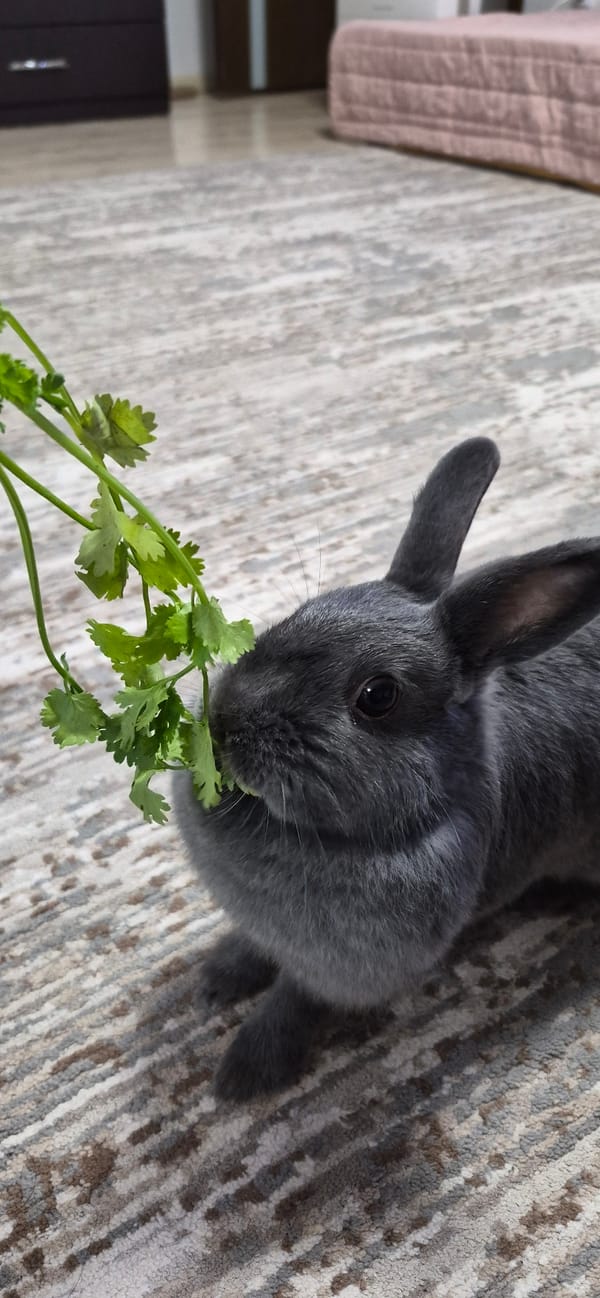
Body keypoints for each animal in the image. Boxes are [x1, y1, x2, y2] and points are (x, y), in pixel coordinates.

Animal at [173, 438, 600, 1102]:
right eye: (300, 611)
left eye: (378, 697)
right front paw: (219, 977)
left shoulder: (343, 968)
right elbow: (256, 951)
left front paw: (245, 1072)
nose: (226, 720)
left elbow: (294, 998)